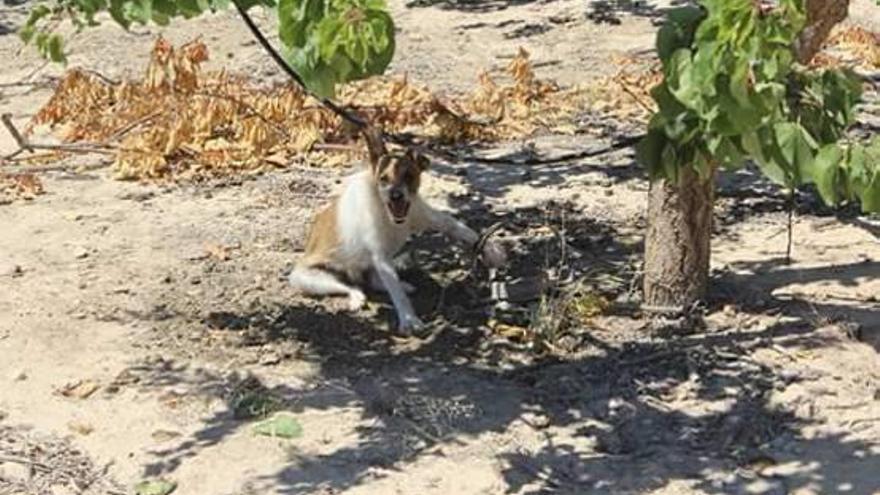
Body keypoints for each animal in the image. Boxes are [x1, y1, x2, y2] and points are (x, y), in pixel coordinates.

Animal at [288, 130, 506, 336]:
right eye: (383, 179)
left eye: (408, 176)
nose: (396, 196)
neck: (390, 216)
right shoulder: (381, 258)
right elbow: (397, 294)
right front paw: (409, 320)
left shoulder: (427, 217)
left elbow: (459, 227)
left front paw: (491, 250)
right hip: (310, 279)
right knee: (351, 287)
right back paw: (357, 297)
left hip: (368, 270)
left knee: (374, 282)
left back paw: (402, 285)